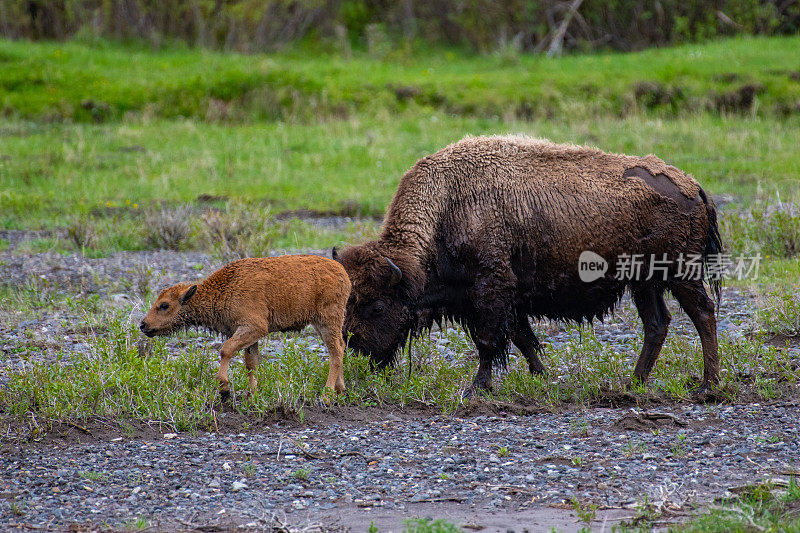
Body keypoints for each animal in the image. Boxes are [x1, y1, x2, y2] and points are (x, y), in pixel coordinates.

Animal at [140, 256, 350, 396]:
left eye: (164, 305)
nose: (143, 325)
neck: (226, 288)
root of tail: (342, 272)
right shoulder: (249, 335)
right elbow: (251, 363)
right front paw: (252, 393)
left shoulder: (253, 327)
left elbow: (226, 350)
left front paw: (224, 389)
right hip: (320, 324)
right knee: (339, 347)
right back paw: (340, 388)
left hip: (328, 320)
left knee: (335, 351)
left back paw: (327, 393)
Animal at [334, 137, 720, 394]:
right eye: (350, 301)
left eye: (378, 306)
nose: (353, 343)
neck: (447, 205)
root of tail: (692, 185)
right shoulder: (509, 300)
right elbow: (524, 339)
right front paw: (540, 376)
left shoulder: (491, 290)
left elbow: (489, 342)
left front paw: (477, 388)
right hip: (643, 282)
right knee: (657, 323)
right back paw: (634, 382)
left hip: (680, 274)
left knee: (702, 313)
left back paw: (707, 384)